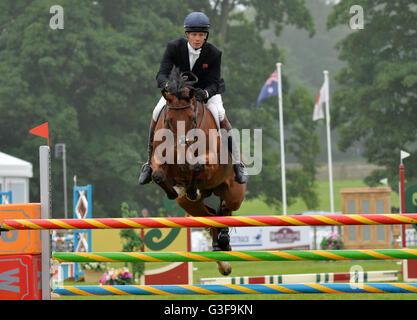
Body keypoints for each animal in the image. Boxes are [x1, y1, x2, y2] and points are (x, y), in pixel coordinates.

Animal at [151, 67, 245, 276]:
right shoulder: (159, 160)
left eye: (192, 118)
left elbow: (196, 166)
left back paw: (224, 242)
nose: (181, 146)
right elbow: (157, 174)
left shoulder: (210, 162)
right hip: (189, 205)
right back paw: (221, 256)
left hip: (234, 194)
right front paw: (174, 190)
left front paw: (191, 186)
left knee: (225, 209)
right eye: (168, 120)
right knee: (210, 216)